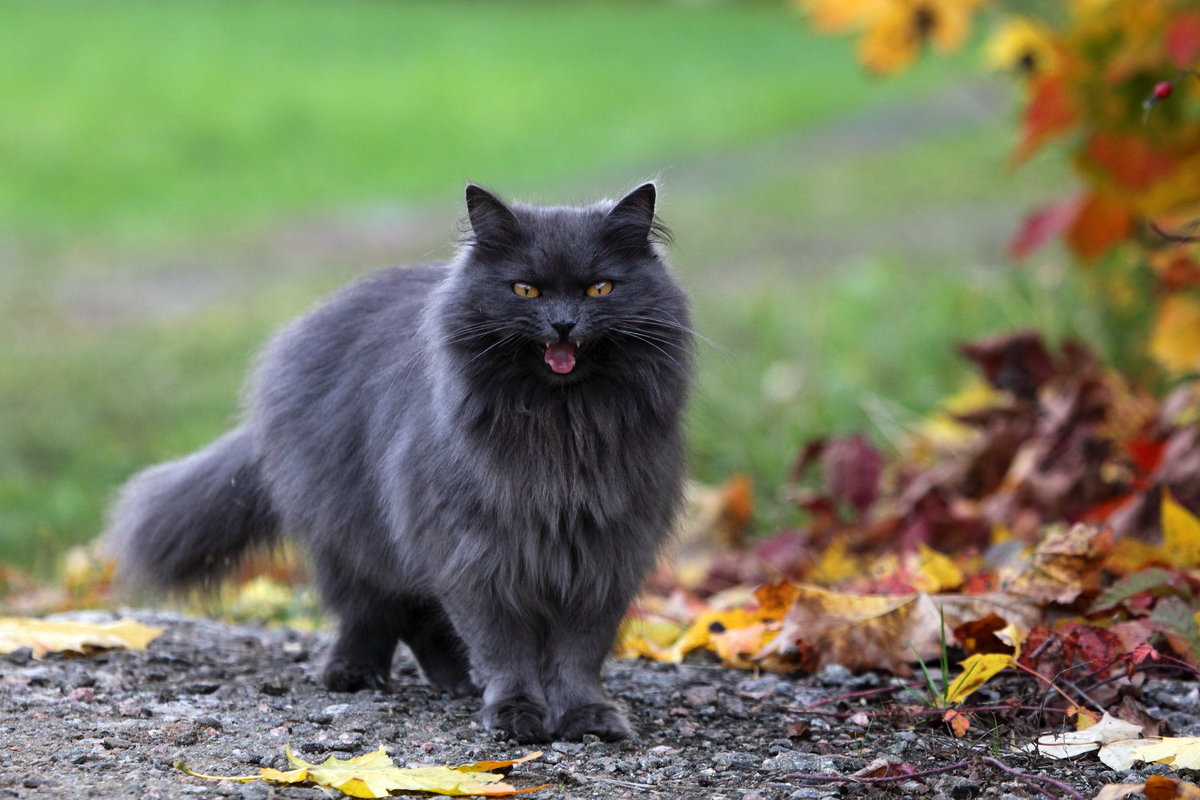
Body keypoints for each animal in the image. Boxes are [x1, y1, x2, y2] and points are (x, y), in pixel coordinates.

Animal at [108, 183, 700, 743]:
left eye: (600, 288)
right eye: (524, 290)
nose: (562, 324)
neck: (560, 428)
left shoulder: (605, 555)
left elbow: (578, 655)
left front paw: (586, 717)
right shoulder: (477, 554)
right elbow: (503, 648)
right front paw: (515, 714)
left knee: (420, 619)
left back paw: (458, 681)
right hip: (353, 530)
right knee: (370, 610)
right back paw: (355, 674)